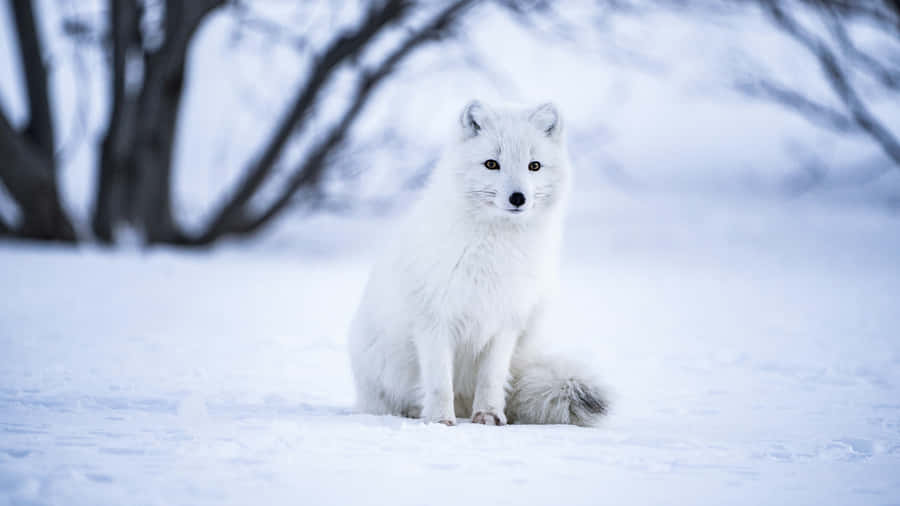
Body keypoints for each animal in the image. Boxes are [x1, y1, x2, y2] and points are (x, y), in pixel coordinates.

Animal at [348, 100, 607, 426]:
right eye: (491, 164)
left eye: (534, 165)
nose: (518, 198)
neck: (494, 249)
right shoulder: (434, 320)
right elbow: (438, 381)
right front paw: (439, 420)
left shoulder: (505, 322)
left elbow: (491, 378)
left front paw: (488, 415)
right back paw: (413, 412)